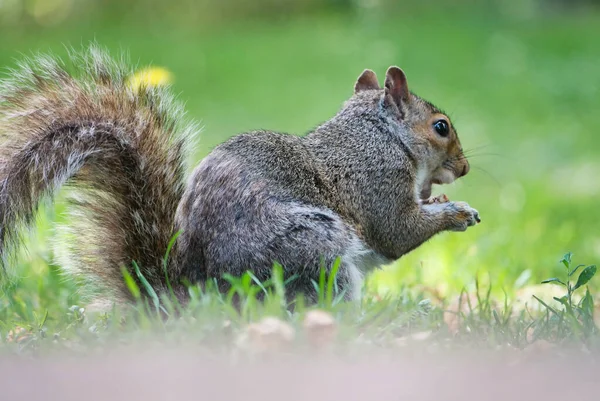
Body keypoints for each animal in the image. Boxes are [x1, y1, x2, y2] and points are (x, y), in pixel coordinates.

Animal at [0, 47, 478, 310]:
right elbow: (396, 232)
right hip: (312, 249)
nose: (465, 168)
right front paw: (455, 213)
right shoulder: (376, 178)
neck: (379, 134)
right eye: (440, 127)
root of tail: (190, 297)